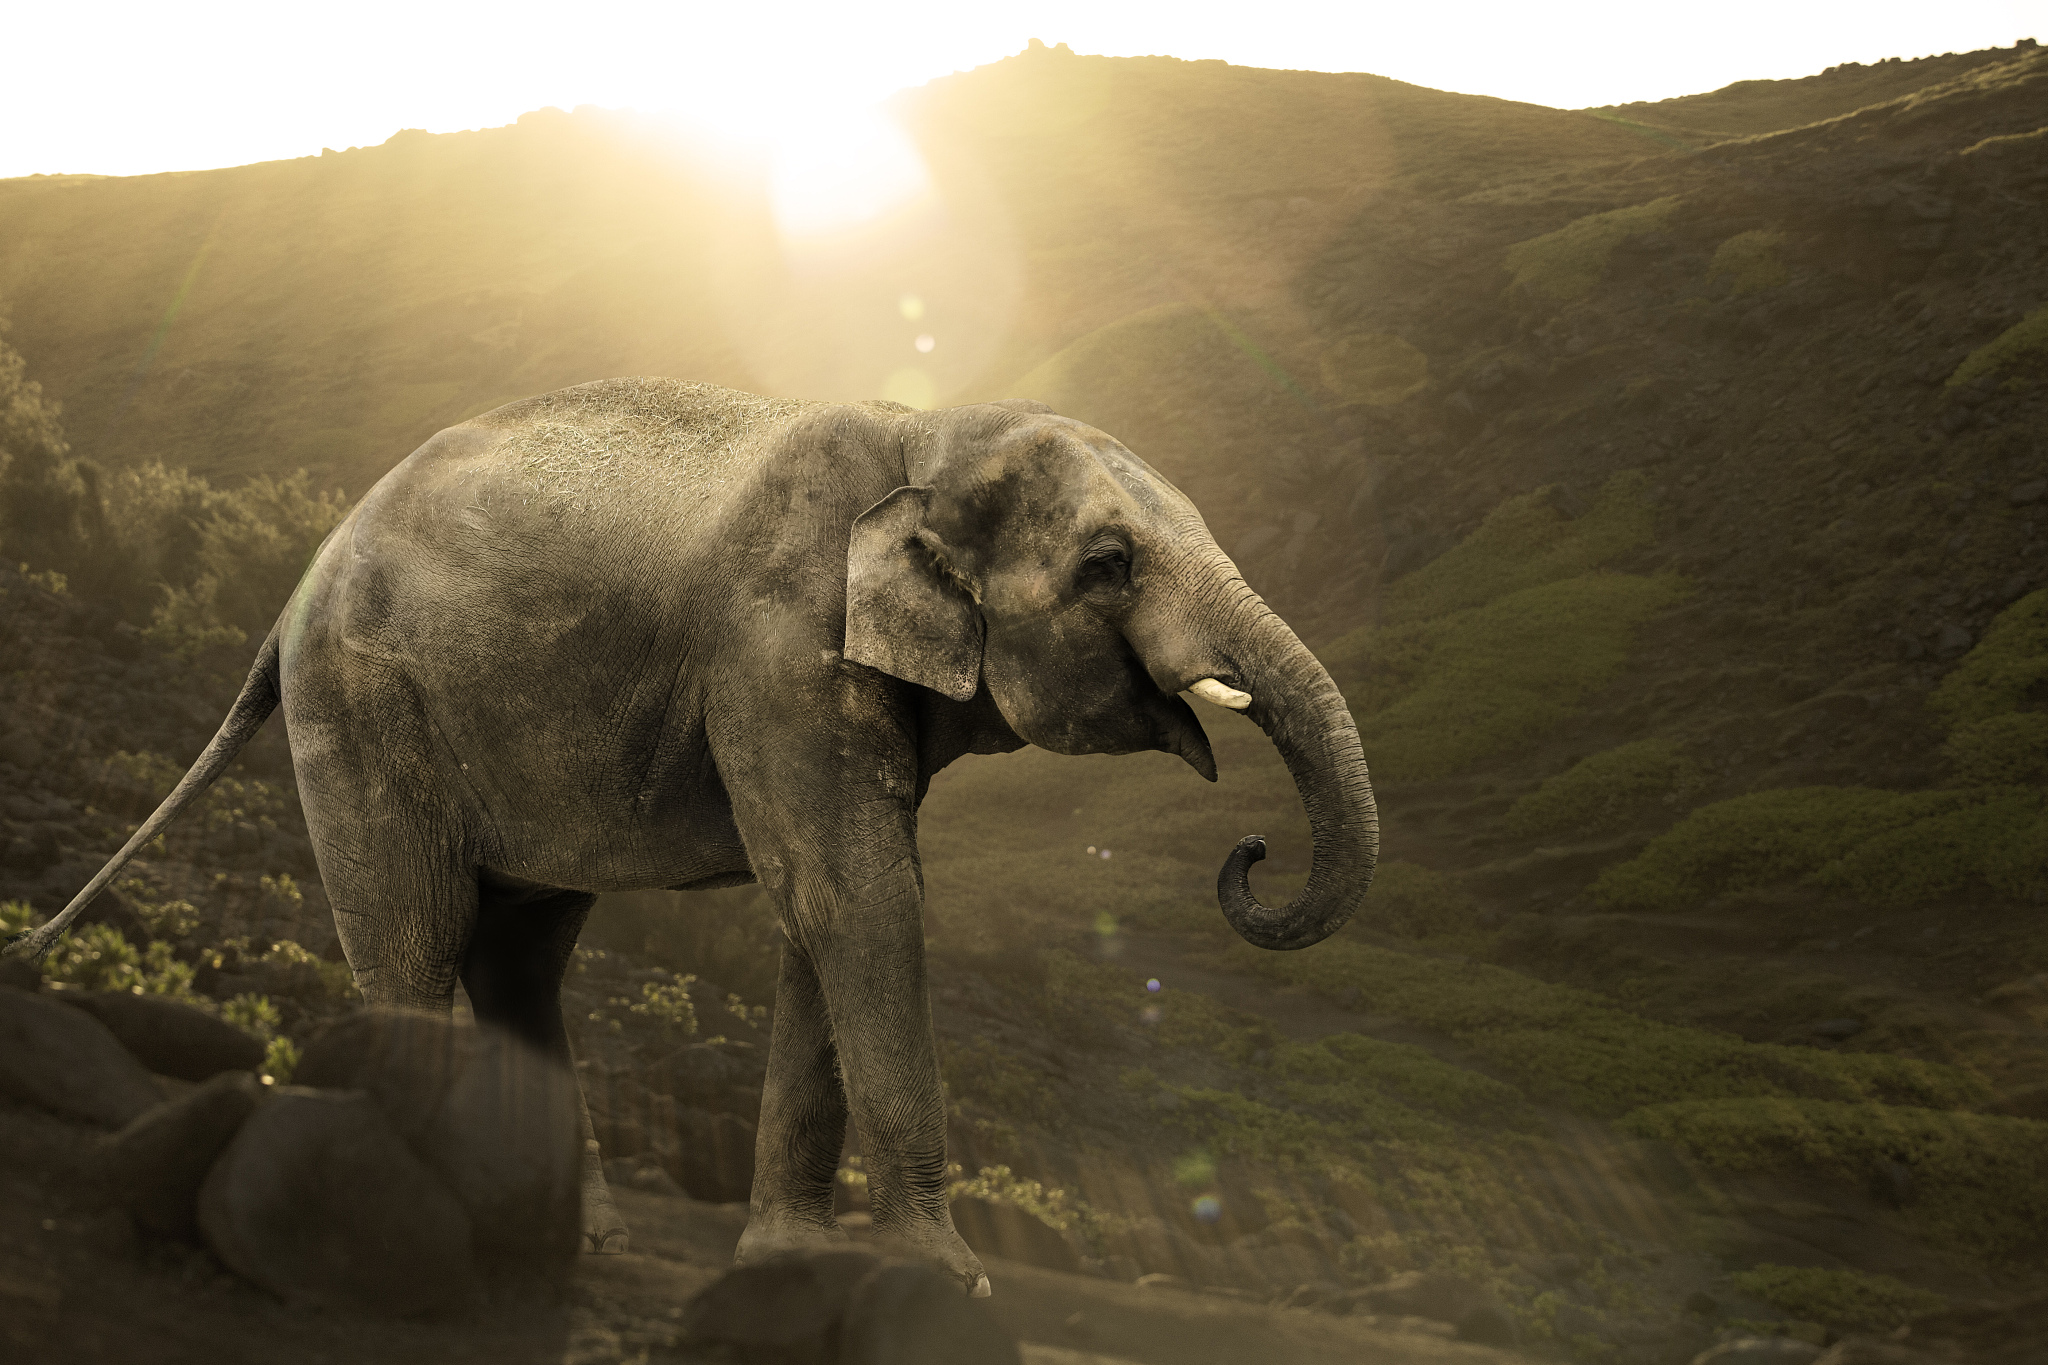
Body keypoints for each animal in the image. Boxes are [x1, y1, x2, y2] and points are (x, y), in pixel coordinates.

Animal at [8, 378, 1378, 1295]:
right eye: (1106, 564)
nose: (1250, 851)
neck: (928, 427)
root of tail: (292, 589)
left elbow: (832, 909)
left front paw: (786, 1263)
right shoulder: (773, 643)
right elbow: (854, 894)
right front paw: (950, 1282)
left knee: (518, 959)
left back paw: (571, 1241)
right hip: (361, 705)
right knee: (415, 942)